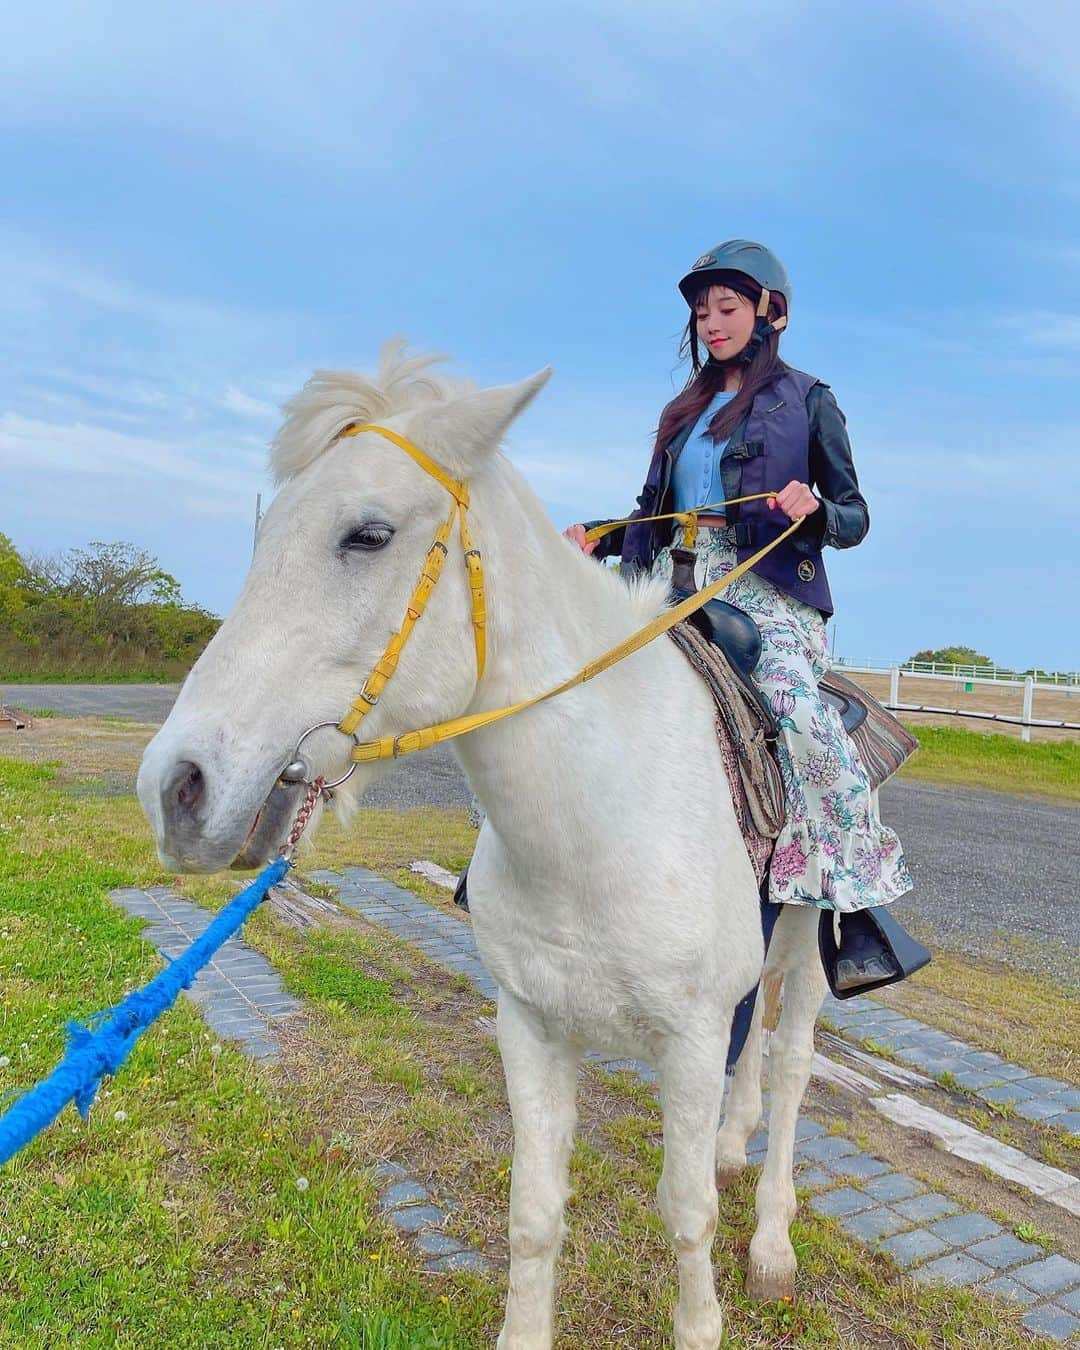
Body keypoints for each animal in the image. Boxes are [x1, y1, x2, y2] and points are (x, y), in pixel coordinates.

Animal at [135, 345, 826, 1350]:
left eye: (368, 534)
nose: (177, 788)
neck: (602, 825)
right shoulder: (530, 1022)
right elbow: (533, 1211)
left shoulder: (688, 1039)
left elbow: (686, 1213)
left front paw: (703, 1318)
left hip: (813, 938)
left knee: (791, 1060)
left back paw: (772, 1240)